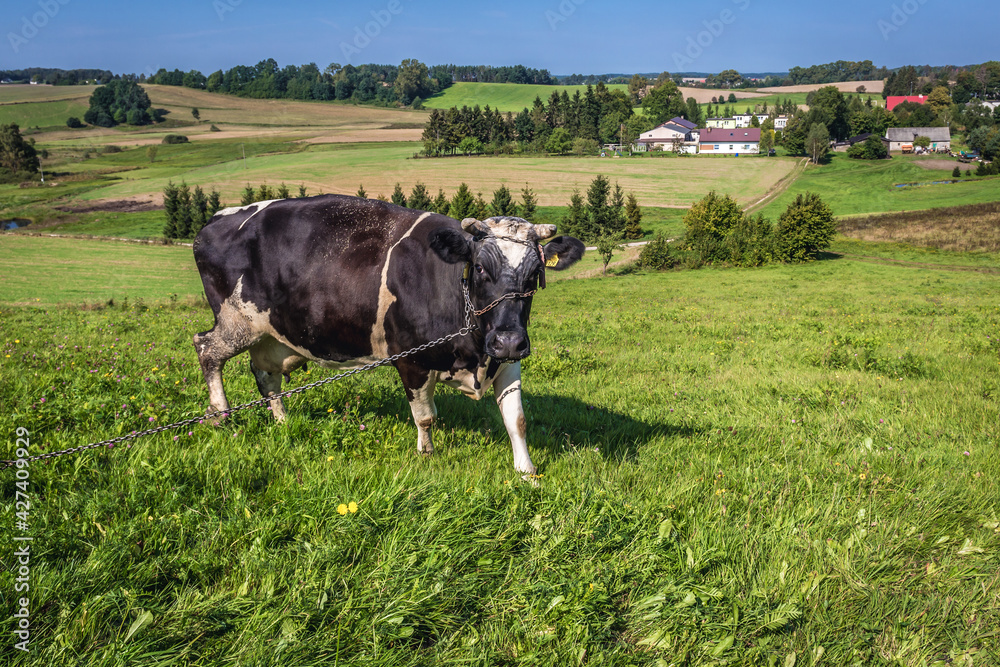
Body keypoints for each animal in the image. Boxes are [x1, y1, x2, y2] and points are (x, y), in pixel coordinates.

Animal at [190, 196, 584, 478]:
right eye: (480, 269)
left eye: (534, 274)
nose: (508, 340)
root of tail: (216, 219)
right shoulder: (411, 359)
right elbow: (425, 417)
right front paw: (427, 455)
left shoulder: (504, 359)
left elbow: (516, 419)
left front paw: (526, 472)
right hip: (236, 321)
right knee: (206, 349)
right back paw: (221, 414)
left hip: (271, 335)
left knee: (266, 376)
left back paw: (282, 421)